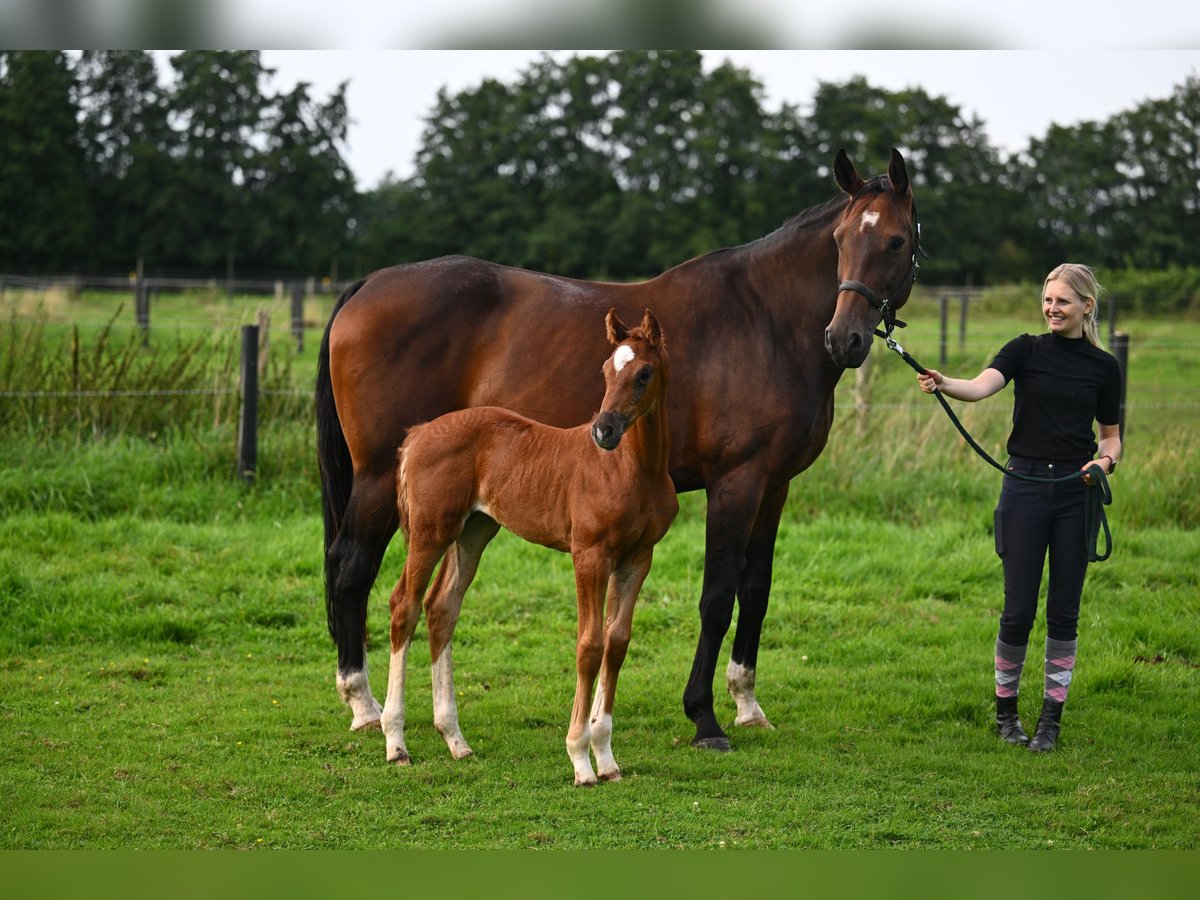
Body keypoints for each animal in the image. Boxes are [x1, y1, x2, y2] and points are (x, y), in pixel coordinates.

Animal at [386, 309, 681, 787]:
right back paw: (396, 744)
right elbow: (589, 645)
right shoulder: (590, 555)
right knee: (405, 607)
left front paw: (607, 759)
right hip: (431, 533)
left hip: (473, 532)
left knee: (442, 608)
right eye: (605, 370)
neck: (633, 470)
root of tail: (417, 434)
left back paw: (456, 741)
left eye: (644, 373)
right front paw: (581, 760)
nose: (604, 431)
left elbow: (617, 642)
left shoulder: (638, 558)